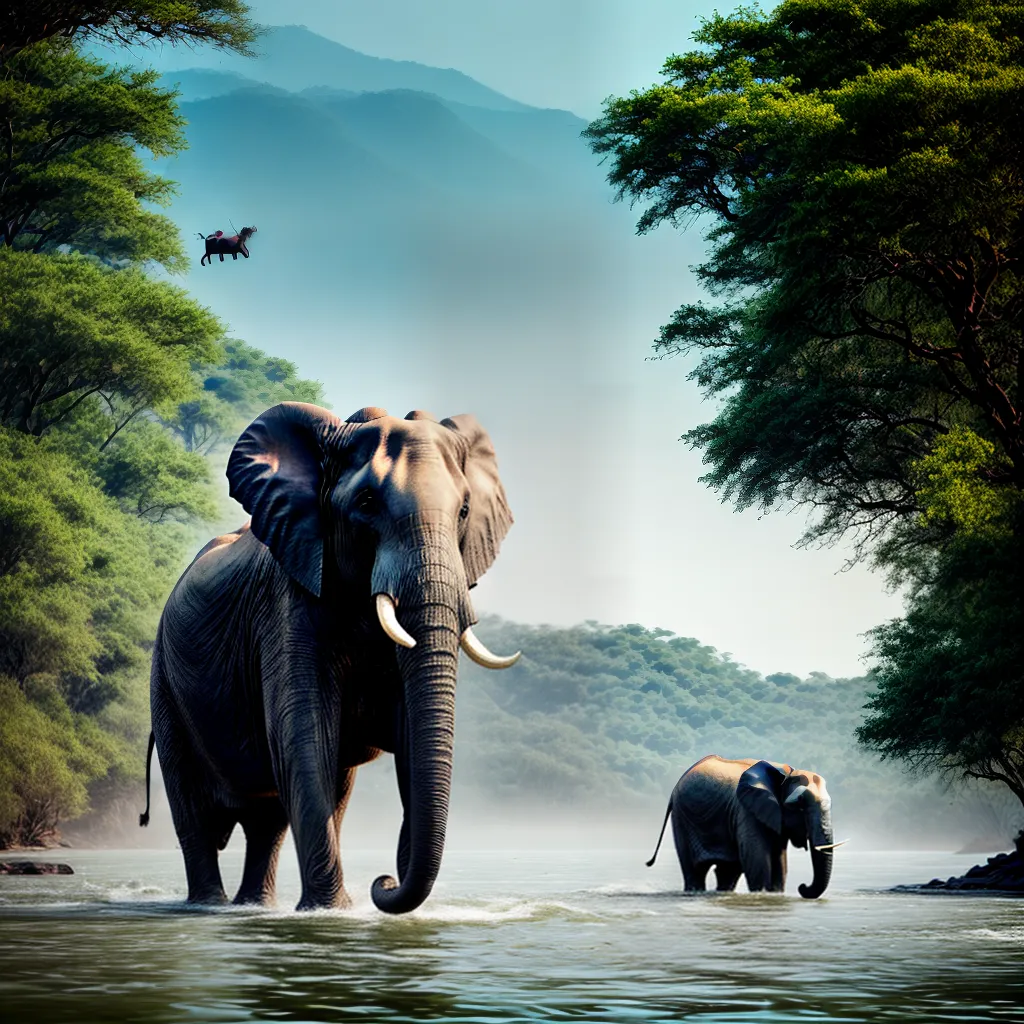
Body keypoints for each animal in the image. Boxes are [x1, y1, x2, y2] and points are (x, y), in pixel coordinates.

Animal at [145, 402, 520, 914]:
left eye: (464, 510)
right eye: (365, 503)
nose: (383, 882)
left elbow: (406, 743)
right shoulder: (288, 603)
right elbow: (304, 740)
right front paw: (332, 913)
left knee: (270, 820)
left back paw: (253, 907)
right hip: (163, 679)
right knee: (194, 812)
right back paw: (211, 906)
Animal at [646, 754, 837, 898]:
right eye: (799, 804)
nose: (802, 887)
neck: (784, 774)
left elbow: (780, 862)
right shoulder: (747, 810)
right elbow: (758, 859)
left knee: (728, 871)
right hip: (683, 818)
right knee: (695, 871)